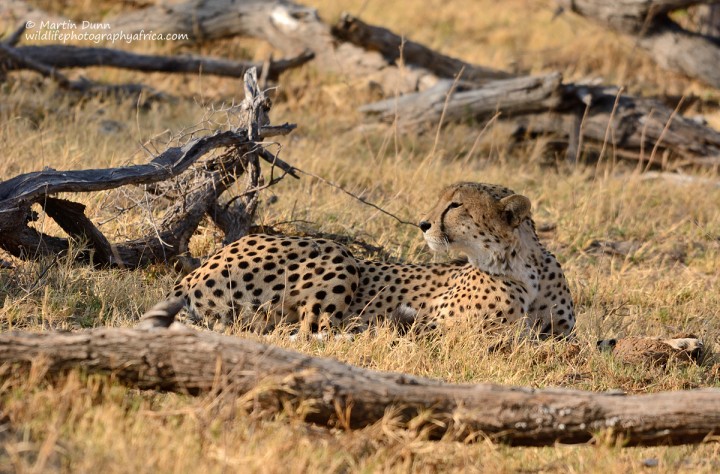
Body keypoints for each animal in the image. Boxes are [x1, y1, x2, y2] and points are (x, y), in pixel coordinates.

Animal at [139, 181, 572, 336]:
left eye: (455, 205)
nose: (423, 223)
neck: (521, 265)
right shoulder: (454, 326)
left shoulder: (559, 332)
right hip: (338, 254)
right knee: (314, 331)